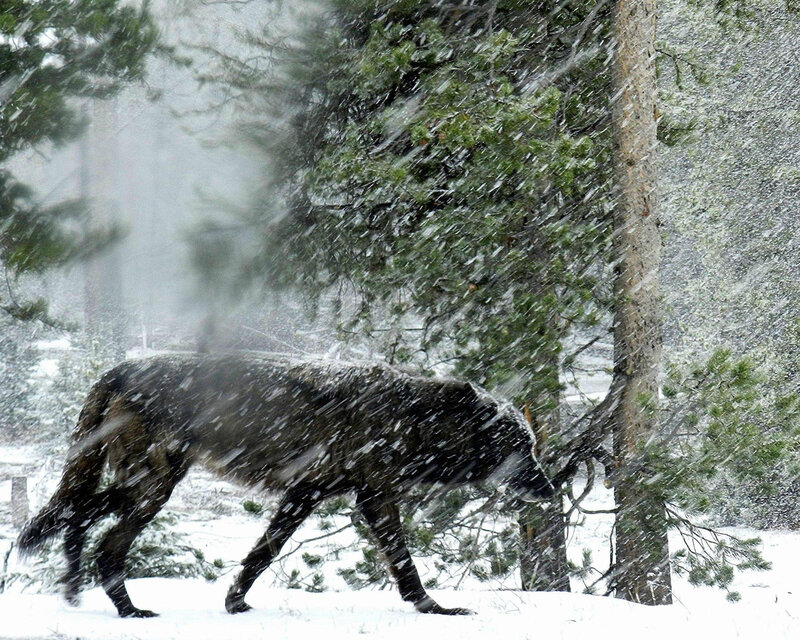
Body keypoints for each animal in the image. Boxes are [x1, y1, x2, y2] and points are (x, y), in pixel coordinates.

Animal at [17, 353, 554, 618]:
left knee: (78, 515)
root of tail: (121, 368)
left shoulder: (310, 495)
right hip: (154, 487)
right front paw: (435, 609)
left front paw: (235, 604)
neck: (416, 420)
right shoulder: (370, 497)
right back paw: (127, 612)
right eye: (523, 447)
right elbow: (405, 563)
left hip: (150, 485)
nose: (550, 489)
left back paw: (76, 591)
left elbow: (261, 554)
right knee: (98, 534)